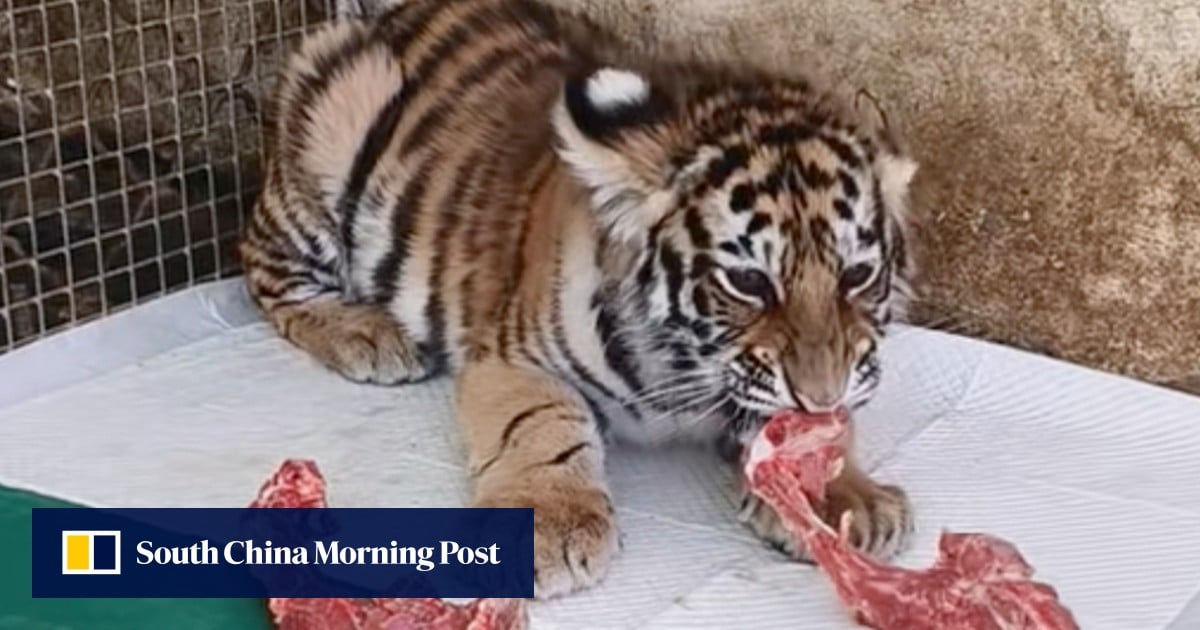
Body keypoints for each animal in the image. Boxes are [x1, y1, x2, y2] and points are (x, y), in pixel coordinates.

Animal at [238, 0, 920, 599]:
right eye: (749, 282)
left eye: (857, 275)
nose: (821, 394)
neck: (688, 364)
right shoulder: (516, 358)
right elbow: (542, 424)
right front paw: (548, 527)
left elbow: (812, 433)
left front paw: (845, 499)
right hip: (330, 130)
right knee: (264, 269)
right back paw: (369, 335)